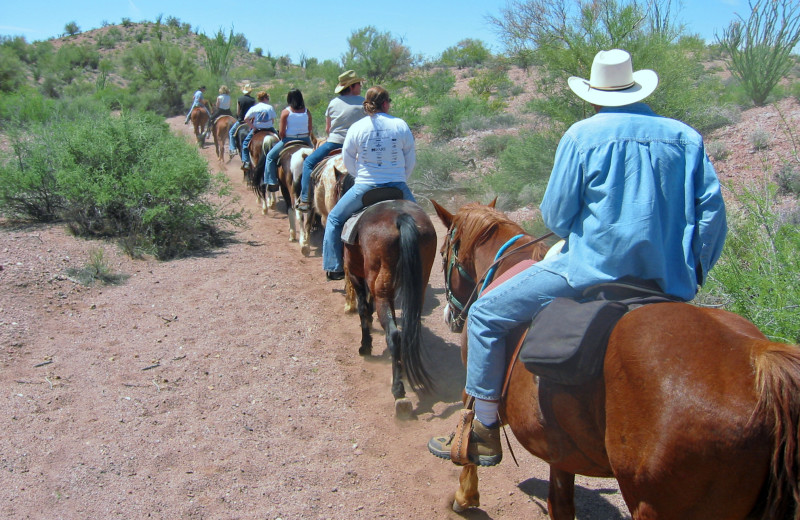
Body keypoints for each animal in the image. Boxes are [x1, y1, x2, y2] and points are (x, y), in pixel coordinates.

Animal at [344, 199, 438, 418]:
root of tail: (400, 217)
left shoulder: (355, 275)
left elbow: (363, 309)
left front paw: (365, 346)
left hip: (382, 290)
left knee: (394, 335)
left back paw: (399, 392)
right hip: (417, 285)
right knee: (408, 332)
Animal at [432, 199, 800, 520]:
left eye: (443, 252)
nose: (451, 316)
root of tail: (758, 359)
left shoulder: (476, 380)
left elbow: (470, 427)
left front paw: (464, 495)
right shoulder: (560, 449)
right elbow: (560, 504)